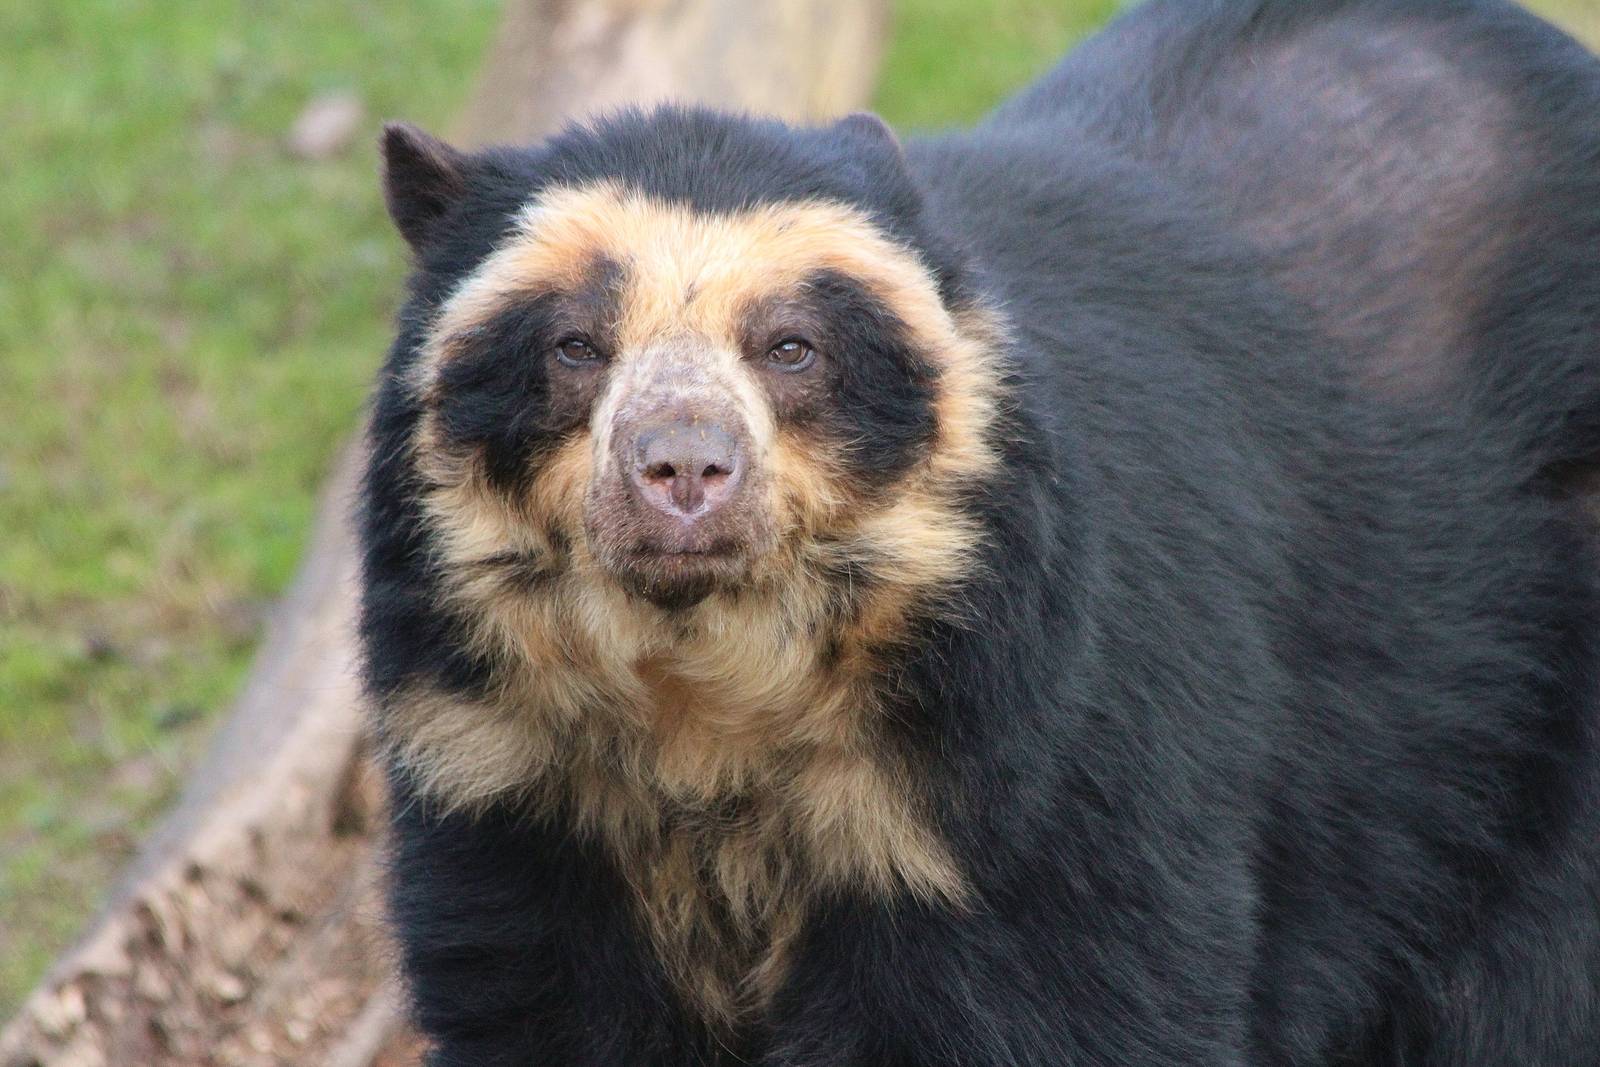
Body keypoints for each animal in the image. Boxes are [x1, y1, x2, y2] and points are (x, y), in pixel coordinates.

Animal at [357, 0, 1600, 1063]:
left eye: (792, 347)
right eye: (575, 345)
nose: (684, 470)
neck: (705, 696)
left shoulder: (1044, 768)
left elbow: (1067, 1001)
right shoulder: (510, 789)